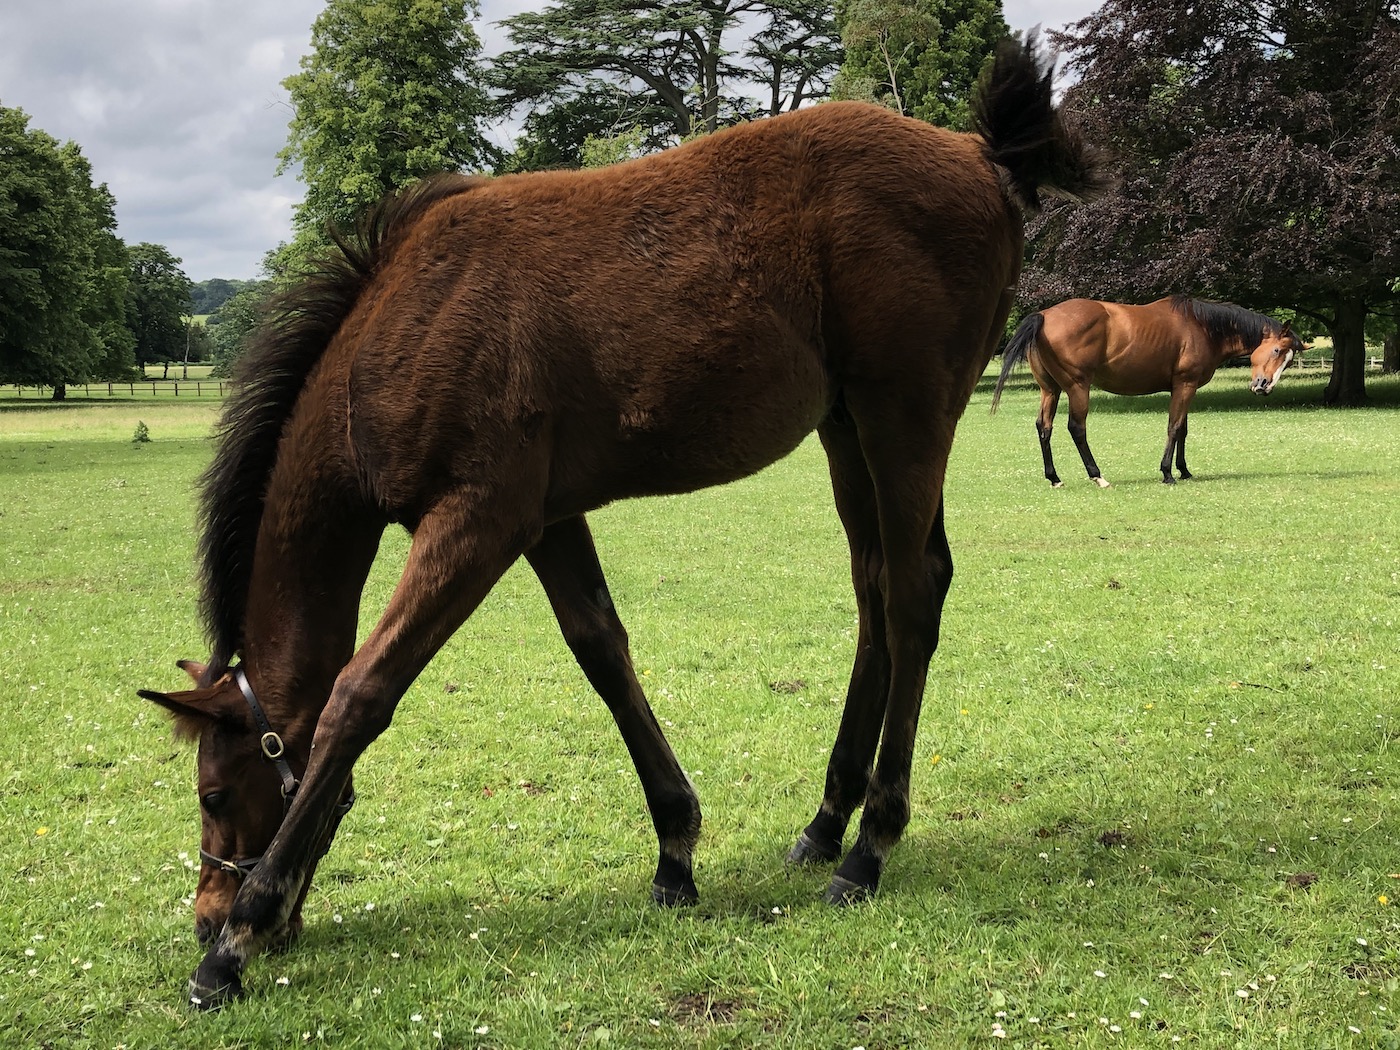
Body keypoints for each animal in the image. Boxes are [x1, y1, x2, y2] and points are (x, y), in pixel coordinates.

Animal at [139, 36, 1101, 1008]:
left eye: (213, 795)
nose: (206, 914)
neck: (397, 335)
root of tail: (977, 152)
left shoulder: (476, 523)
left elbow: (361, 693)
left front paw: (238, 940)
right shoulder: (545, 521)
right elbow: (601, 649)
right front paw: (675, 853)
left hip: (905, 416)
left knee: (911, 594)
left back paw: (869, 848)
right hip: (846, 429)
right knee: (874, 594)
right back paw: (827, 821)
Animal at [991, 295, 1306, 487]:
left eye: (1288, 360)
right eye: (1277, 350)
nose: (1264, 386)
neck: (1203, 327)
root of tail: (1043, 315)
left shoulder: (1183, 388)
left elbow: (1183, 430)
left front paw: (1184, 470)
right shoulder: (1185, 385)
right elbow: (1174, 427)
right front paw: (1167, 473)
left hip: (1050, 390)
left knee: (1044, 426)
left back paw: (1054, 477)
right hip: (1078, 388)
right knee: (1076, 428)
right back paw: (1097, 475)